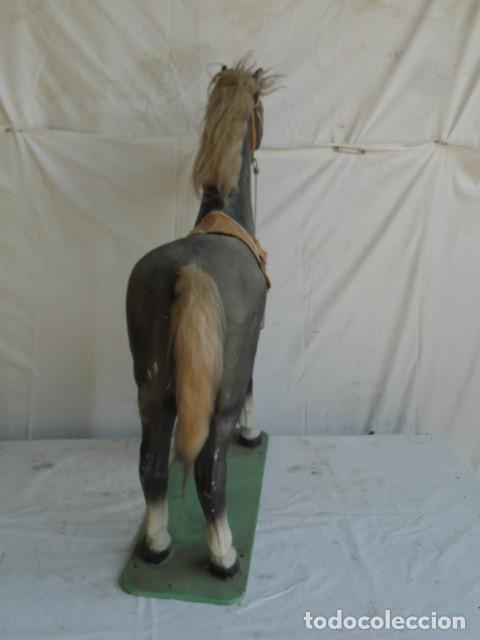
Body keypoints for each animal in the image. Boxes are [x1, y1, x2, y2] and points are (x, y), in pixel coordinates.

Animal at [126, 59, 275, 579]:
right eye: (260, 106)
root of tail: (187, 272)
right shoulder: (247, 354)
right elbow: (251, 385)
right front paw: (252, 435)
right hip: (217, 401)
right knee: (211, 472)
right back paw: (223, 556)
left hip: (150, 393)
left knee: (151, 465)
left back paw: (157, 545)